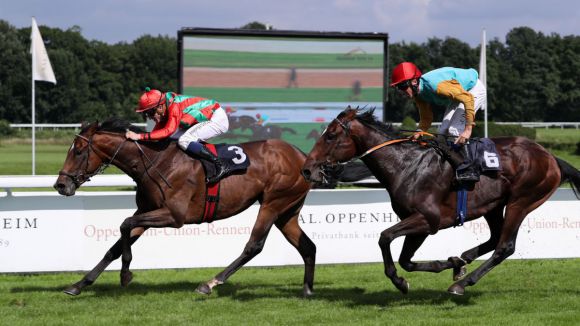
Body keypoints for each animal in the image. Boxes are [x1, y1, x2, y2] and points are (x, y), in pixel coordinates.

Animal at [53, 119, 318, 296]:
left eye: (78, 151)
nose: (60, 185)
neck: (156, 162)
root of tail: (301, 155)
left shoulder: (174, 215)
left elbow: (124, 224)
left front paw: (125, 274)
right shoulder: (146, 212)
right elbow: (116, 245)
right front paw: (79, 284)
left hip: (273, 203)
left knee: (254, 246)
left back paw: (210, 283)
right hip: (287, 211)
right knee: (307, 246)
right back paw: (307, 291)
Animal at [304, 107, 580, 296]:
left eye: (331, 136)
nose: (307, 169)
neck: (406, 165)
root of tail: (551, 157)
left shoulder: (428, 219)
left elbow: (385, 238)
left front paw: (399, 282)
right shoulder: (419, 224)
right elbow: (406, 260)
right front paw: (450, 263)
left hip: (521, 202)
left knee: (505, 246)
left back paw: (462, 284)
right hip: (493, 205)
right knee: (494, 238)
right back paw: (464, 259)